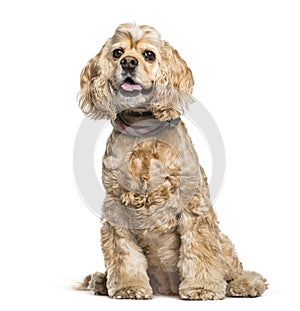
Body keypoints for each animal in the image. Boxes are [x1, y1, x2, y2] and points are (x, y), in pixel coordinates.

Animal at [77, 23, 268, 302]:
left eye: (149, 55)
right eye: (117, 52)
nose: (128, 62)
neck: (144, 130)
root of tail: (167, 288)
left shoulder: (193, 205)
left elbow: (199, 249)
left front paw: (202, 288)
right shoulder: (116, 206)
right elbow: (124, 254)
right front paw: (128, 287)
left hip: (224, 242)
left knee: (235, 268)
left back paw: (245, 285)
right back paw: (100, 280)